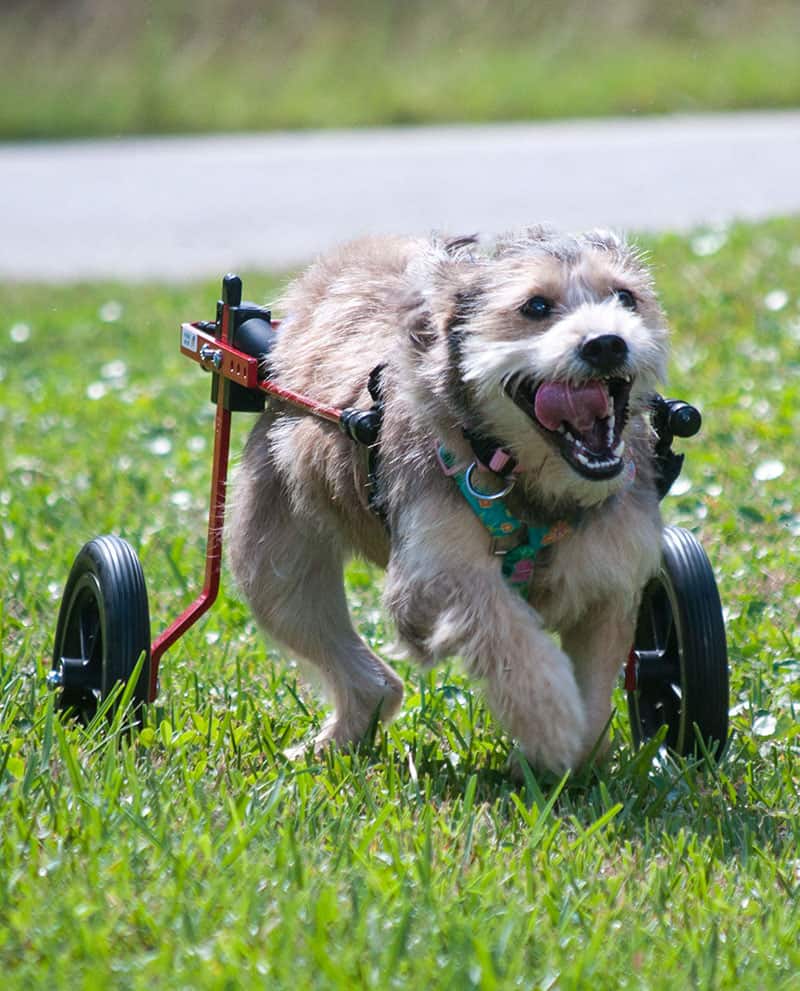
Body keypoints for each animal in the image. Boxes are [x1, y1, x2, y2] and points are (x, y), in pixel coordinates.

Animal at [230, 227, 668, 776]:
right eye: (536, 305)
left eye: (625, 298)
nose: (607, 343)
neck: (530, 487)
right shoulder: (431, 573)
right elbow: (499, 623)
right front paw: (551, 722)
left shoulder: (609, 578)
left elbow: (596, 681)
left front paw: (579, 751)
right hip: (273, 567)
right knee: (361, 670)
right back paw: (326, 747)